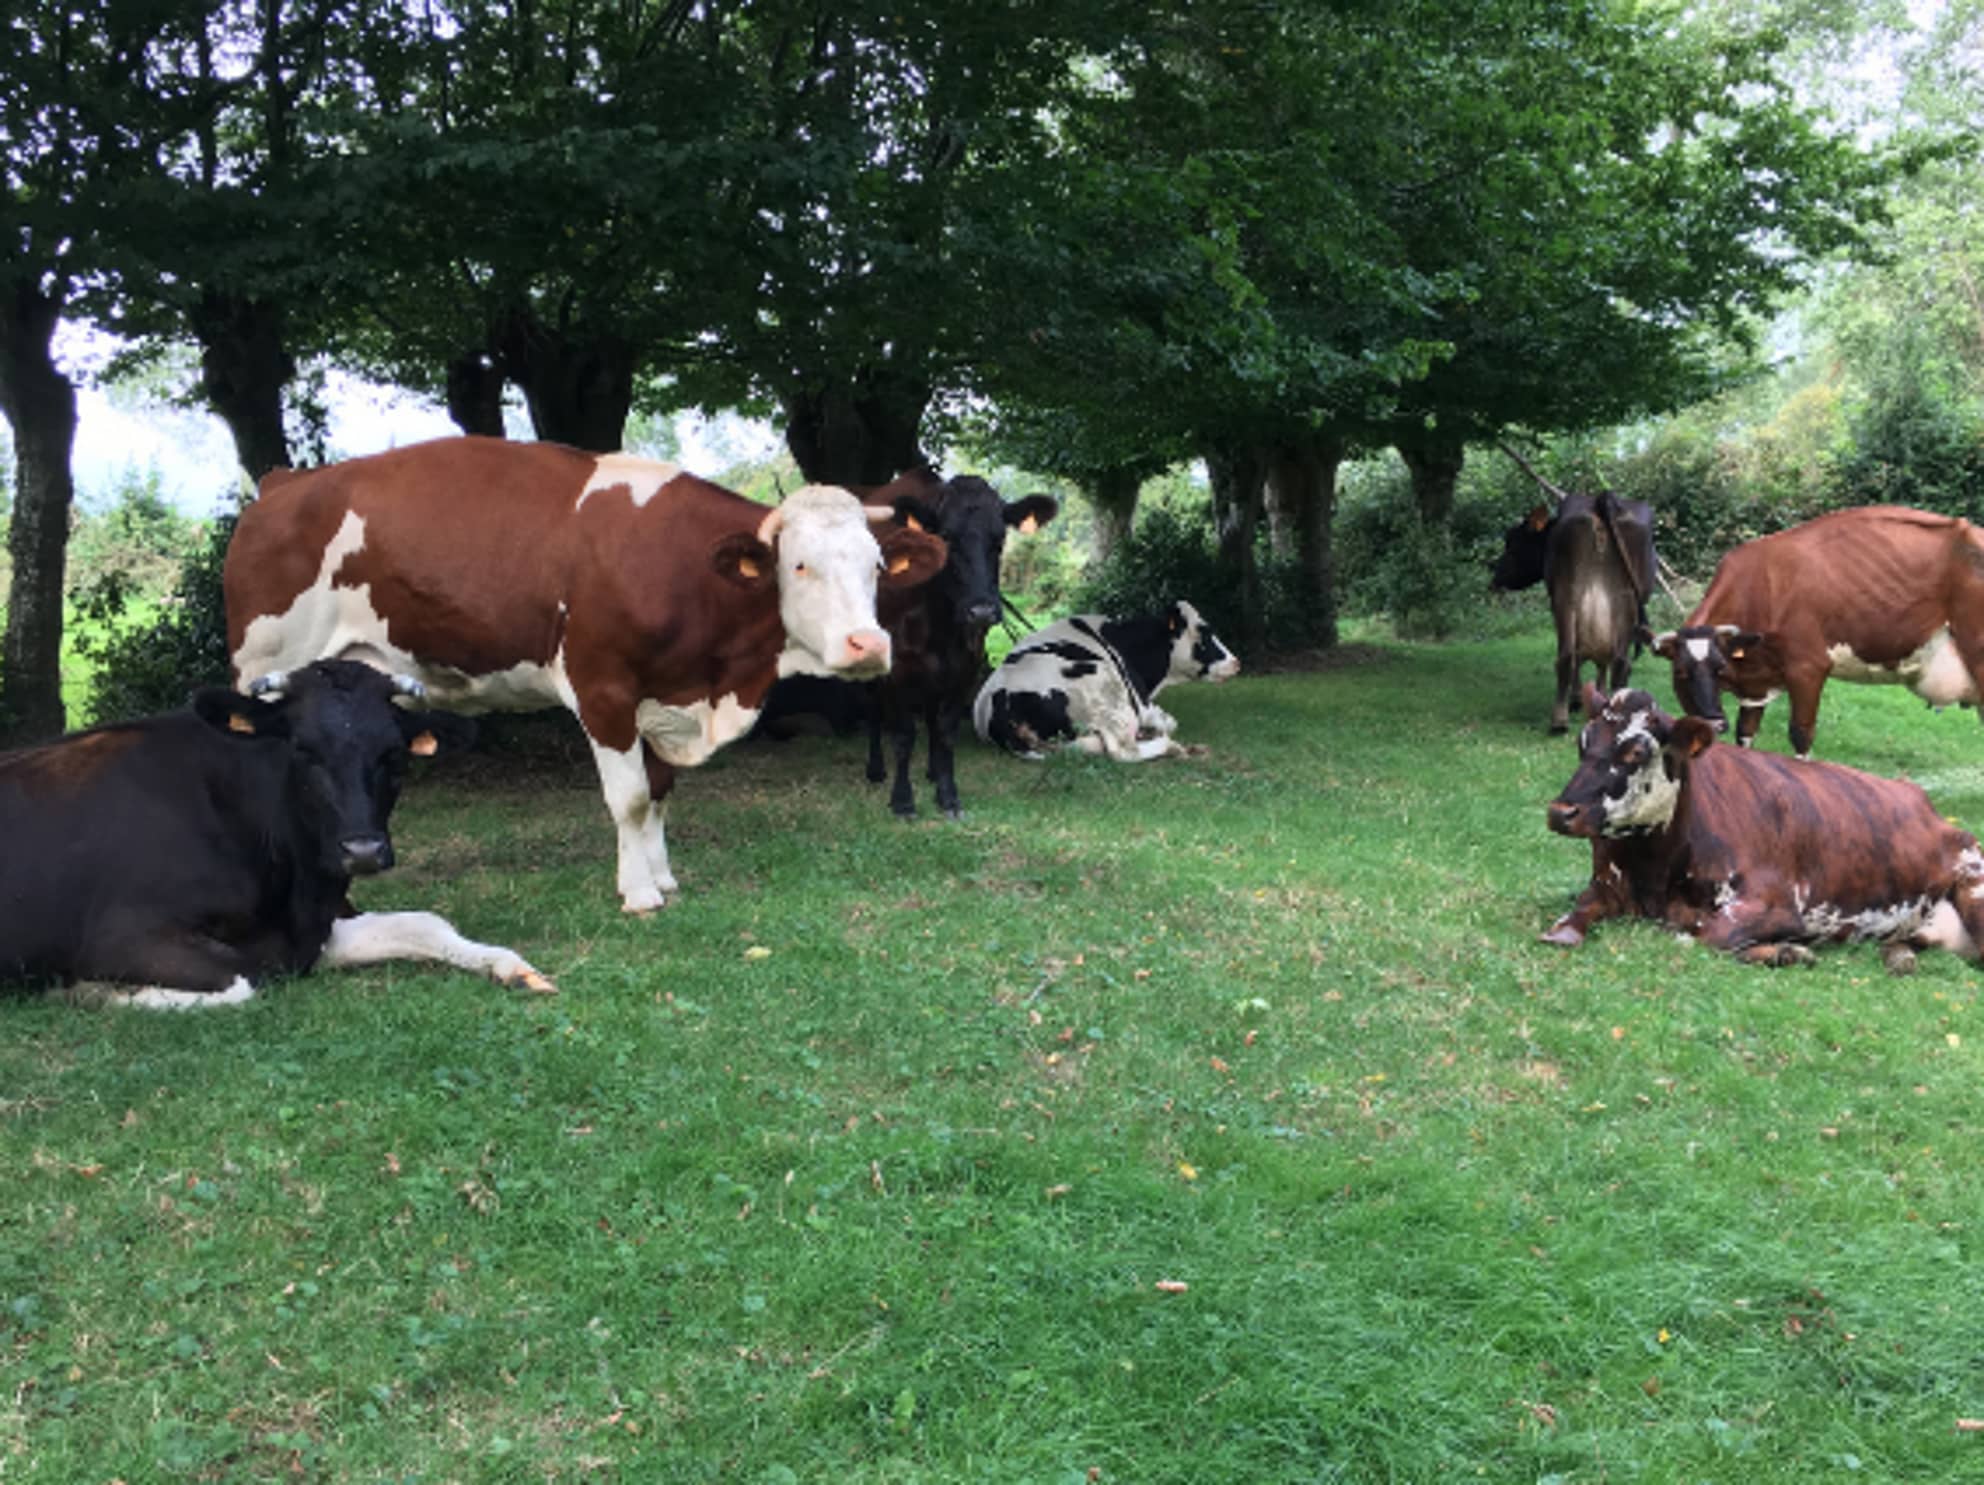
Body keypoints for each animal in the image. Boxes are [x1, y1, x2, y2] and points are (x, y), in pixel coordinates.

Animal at [0, 663, 551, 1008]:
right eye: (303, 749)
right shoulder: (118, 935)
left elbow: (424, 923)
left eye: (393, 753)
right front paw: (89, 991)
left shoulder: (311, 927)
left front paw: (510, 967)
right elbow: (241, 981)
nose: (363, 850)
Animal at [228, 434, 948, 909]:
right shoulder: (602, 689)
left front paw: (661, 875)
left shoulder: (661, 696)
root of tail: (283, 483)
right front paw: (639, 894)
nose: (868, 644)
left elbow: (658, 792)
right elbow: (628, 797)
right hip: (265, 671)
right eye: (799, 565)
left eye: (877, 567)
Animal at [968, 595, 1230, 758]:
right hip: (1108, 694)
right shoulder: (1141, 702)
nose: (1235, 662)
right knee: (1122, 751)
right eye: (1205, 633)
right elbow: (1170, 721)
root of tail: (998, 701)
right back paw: (1170, 746)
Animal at [1547, 678, 1984, 968]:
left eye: (1636, 752)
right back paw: (1899, 955)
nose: (1560, 811)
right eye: (1583, 742)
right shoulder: (1606, 881)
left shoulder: (1778, 905)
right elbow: (1577, 912)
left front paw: (1786, 950)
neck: (1654, 867)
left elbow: (1703, 936)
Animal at [1650, 512, 1984, 766]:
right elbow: (1745, 734)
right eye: (1681, 672)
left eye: (1720, 668)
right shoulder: (1756, 683)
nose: (1715, 723)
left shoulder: (1808, 667)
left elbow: (1801, 734)